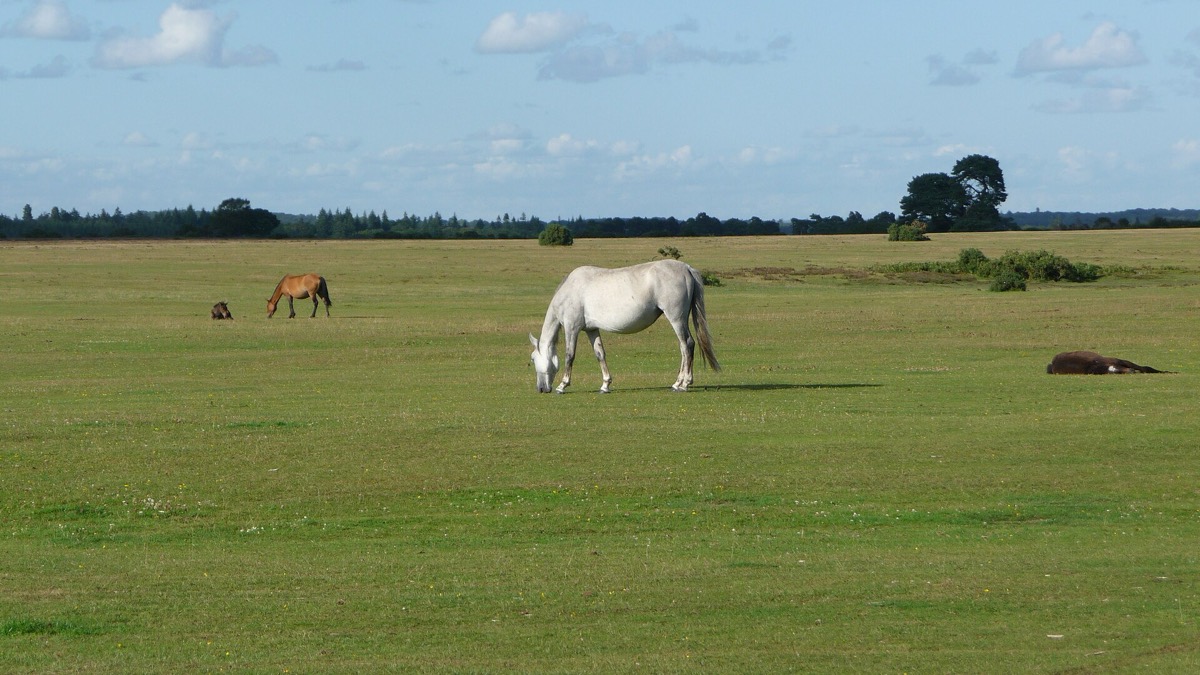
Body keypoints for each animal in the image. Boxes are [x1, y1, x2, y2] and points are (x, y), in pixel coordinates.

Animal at [529, 259, 719, 393]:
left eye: (532, 359)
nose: (541, 389)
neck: (570, 290)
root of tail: (686, 268)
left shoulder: (572, 328)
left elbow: (569, 356)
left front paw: (563, 385)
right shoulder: (591, 330)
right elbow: (600, 354)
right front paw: (605, 385)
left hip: (676, 318)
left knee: (687, 344)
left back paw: (685, 384)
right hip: (680, 320)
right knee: (683, 347)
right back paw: (677, 382)